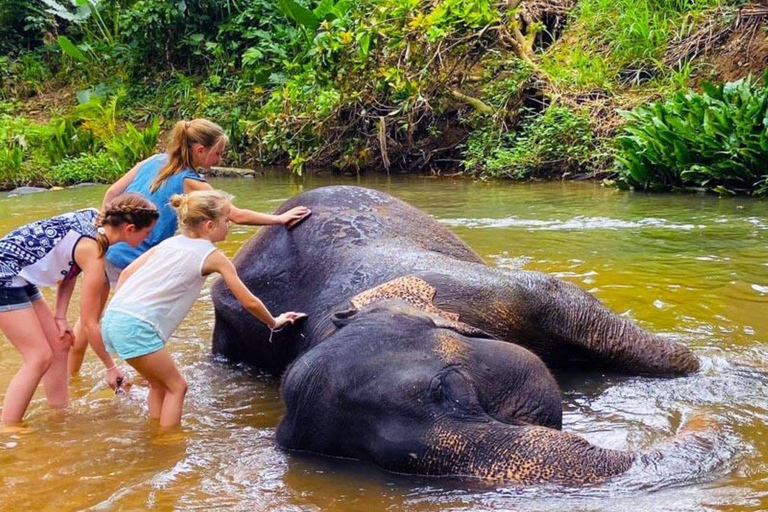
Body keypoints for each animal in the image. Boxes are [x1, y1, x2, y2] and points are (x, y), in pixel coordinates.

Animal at [211, 185, 706, 485]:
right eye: (390, 463)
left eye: (455, 388)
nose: (700, 421)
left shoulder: (495, 292)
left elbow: (569, 303)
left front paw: (699, 371)